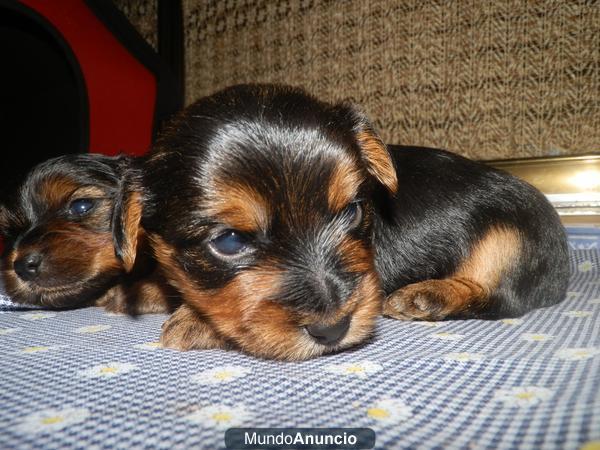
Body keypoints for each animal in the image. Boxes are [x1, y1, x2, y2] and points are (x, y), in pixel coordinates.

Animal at [143, 83, 568, 358]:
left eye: (351, 212)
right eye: (229, 241)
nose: (332, 329)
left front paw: (195, 321)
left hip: (509, 241)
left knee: (499, 297)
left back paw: (426, 296)